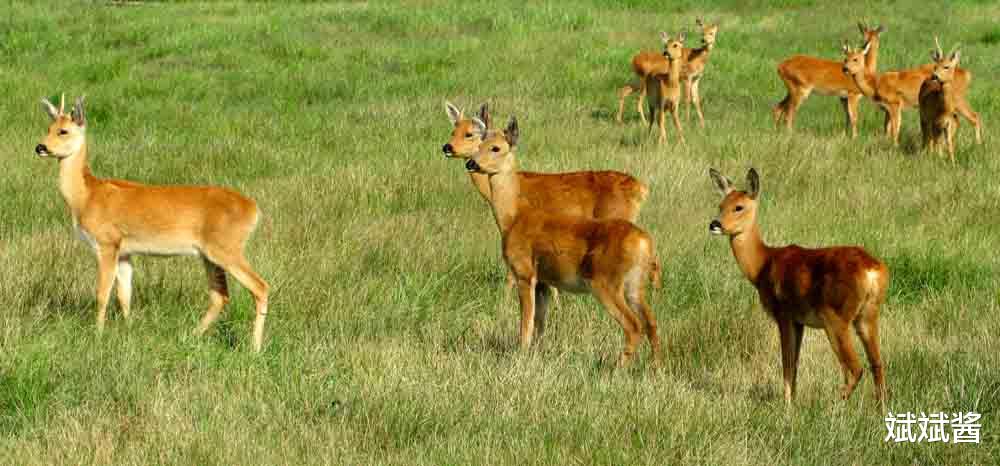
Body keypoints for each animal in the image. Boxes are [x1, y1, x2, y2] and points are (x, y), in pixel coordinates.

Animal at [34, 93, 270, 350]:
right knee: (220, 295)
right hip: (210, 254)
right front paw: (129, 331)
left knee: (260, 287)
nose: (40, 147)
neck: (87, 196)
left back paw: (254, 348)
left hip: (227, 248)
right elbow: (124, 295)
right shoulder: (125, 251)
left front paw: (97, 335)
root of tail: (253, 209)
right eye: (48, 128)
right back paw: (190, 336)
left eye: (63, 131)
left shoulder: (107, 242)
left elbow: (102, 293)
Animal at [466, 115, 664, 364]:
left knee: (633, 326)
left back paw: (617, 367)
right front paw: (535, 354)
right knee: (652, 323)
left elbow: (525, 324)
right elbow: (540, 324)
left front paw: (520, 355)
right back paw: (656, 366)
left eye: (496, 148)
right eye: (478, 144)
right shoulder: (543, 281)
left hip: (606, 282)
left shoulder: (524, 272)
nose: (471, 163)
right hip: (634, 284)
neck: (513, 217)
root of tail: (645, 242)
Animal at [708, 168, 888, 404]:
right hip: (867, 315)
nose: (714, 224)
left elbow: (787, 363)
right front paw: (793, 400)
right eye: (720, 205)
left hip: (836, 317)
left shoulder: (784, 313)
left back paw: (833, 403)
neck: (762, 265)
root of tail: (872, 270)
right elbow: (795, 364)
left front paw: (787, 405)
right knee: (877, 364)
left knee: (855, 368)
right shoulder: (800, 321)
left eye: (739, 206)